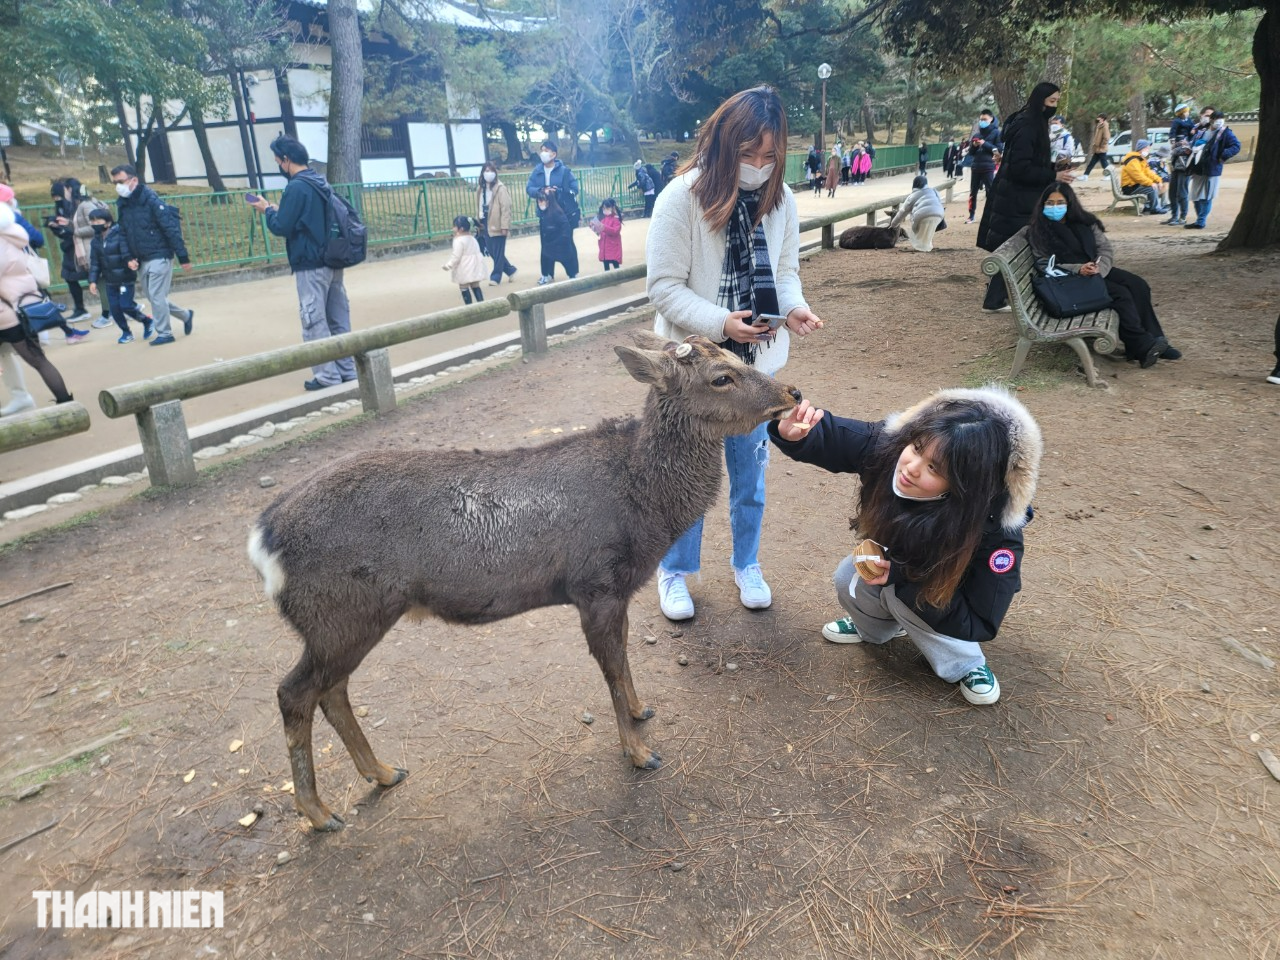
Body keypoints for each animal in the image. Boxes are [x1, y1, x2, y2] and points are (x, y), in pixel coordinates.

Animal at [248, 335, 798, 829]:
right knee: (294, 692)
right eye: (721, 376)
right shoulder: (595, 583)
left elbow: (624, 659)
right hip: (342, 611)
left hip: (343, 621)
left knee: (331, 690)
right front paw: (640, 753)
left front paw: (642, 710)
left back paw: (382, 773)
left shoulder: (616, 592)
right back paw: (320, 813)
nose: (791, 391)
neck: (644, 504)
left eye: (737, 355)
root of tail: (263, 540)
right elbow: (611, 669)